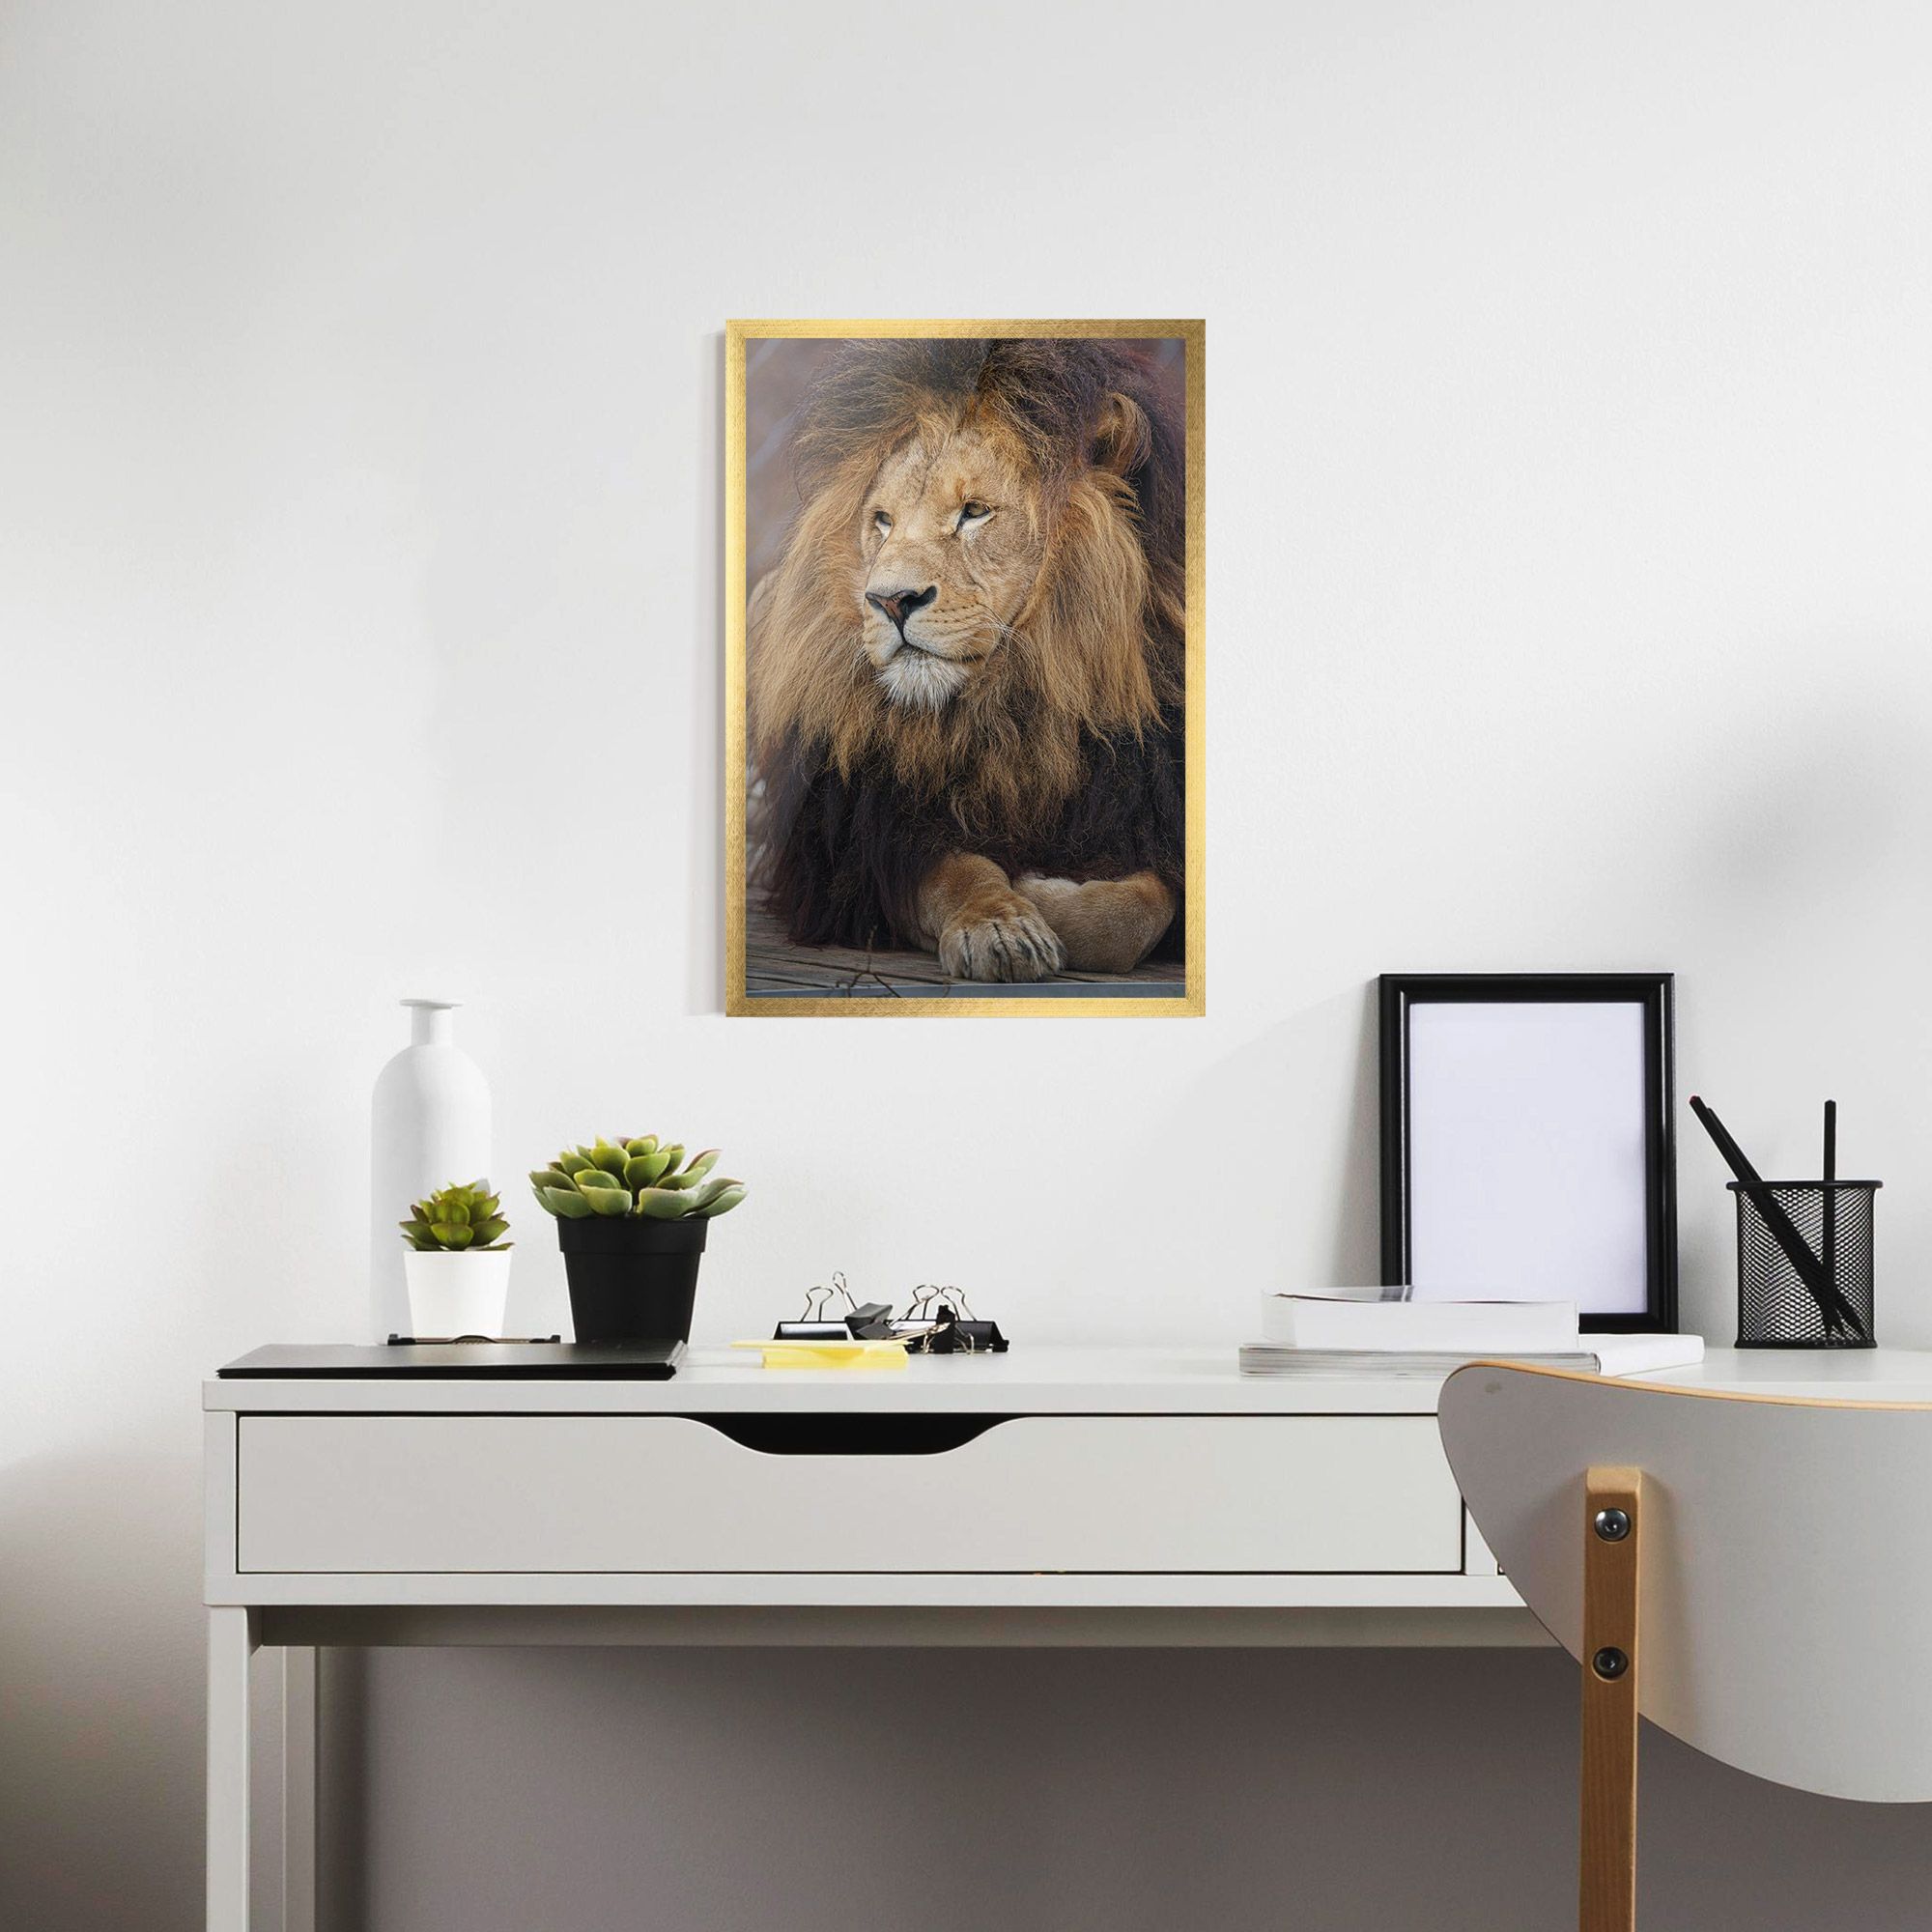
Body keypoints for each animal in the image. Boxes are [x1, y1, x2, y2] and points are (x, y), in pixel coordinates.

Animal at [748, 337, 1186, 983]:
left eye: (975, 511)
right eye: (882, 521)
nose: (889, 600)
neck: (1015, 711)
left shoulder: (1146, 813)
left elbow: (1134, 913)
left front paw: (1044, 888)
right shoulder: (866, 845)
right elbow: (958, 874)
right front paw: (1003, 924)